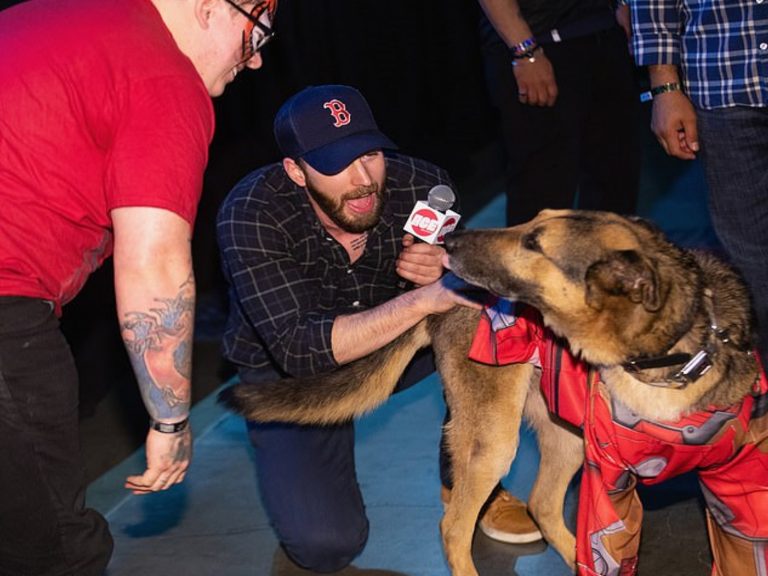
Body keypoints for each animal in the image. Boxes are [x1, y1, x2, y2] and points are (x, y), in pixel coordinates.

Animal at [219, 210, 764, 576]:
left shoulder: (736, 482)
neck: (665, 364)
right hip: (495, 439)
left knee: (541, 504)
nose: (450, 239)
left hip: (566, 433)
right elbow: (609, 552)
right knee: (455, 526)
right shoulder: (609, 485)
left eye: (534, 242)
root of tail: (439, 294)